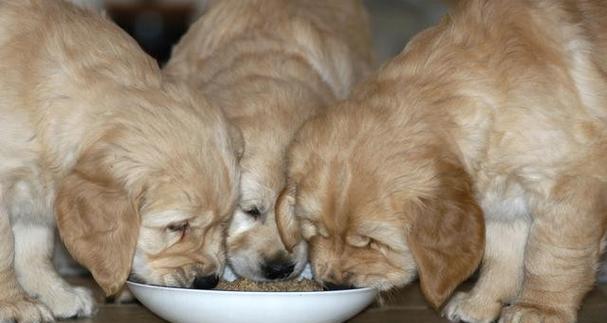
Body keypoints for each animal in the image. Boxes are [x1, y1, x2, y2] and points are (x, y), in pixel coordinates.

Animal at [0, 1, 242, 322]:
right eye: (177, 226)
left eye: (225, 223)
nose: (208, 281)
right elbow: (6, 249)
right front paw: (14, 303)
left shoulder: (35, 193)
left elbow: (34, 250)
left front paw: (57, 294)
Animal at [278, 0, 607, 322]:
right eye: (314, 231)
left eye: (373, 241)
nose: (334, 285)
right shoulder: (505, 202)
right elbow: (503, 257)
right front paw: (479, 303)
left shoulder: (571, 185)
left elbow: (552, 255)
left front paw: (539, 308)